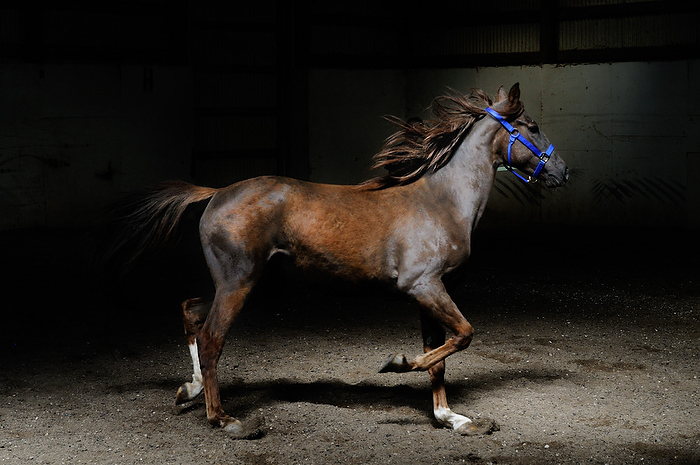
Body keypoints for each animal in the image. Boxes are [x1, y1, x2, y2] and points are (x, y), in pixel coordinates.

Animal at [110, 82, 568, 436]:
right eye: (532, 126)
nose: (561, 171)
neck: (444, 201)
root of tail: (216, 192)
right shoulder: (422, 286)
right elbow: (462, 336)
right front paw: (396, 363)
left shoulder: (434, 291)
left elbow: (441, 353)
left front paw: (451, 418)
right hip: (238, 283)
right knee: (211, 338)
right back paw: (224, 420)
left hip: (249, 282)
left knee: (191, 311)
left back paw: (189, 390)